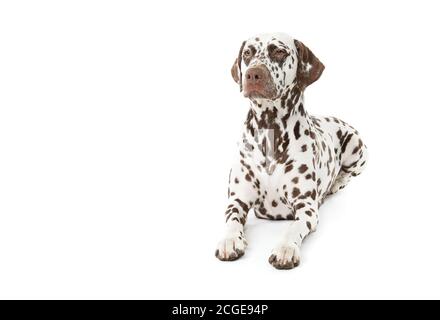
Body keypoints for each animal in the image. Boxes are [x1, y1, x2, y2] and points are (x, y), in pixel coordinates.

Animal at [215, 32, 366, 268]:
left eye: (279, 51)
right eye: (247, 53)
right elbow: (231, 221)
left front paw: (285, 248)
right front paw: (229, 240)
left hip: (356, 146)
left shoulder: (306, 207)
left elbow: (293, 227)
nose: (253, 74)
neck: (270, 133)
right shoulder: (237, 200)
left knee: (348, 175)